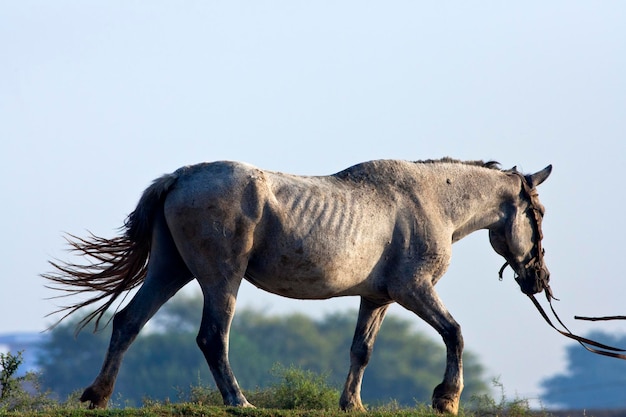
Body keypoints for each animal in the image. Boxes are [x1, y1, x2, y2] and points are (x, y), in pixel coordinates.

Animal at [45, 157, 552, 412]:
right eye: (540, 214)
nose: (540, 278)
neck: (428, 198)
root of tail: (179, 177)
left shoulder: (376, 299)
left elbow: (361, 351)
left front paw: (352, 404)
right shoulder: (414, 291)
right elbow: (455, 333)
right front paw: (446, 398)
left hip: (170, 271)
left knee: (127, 323)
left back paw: (97, 396)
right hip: (220, 279)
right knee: (212, 337)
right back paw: (239, 401)